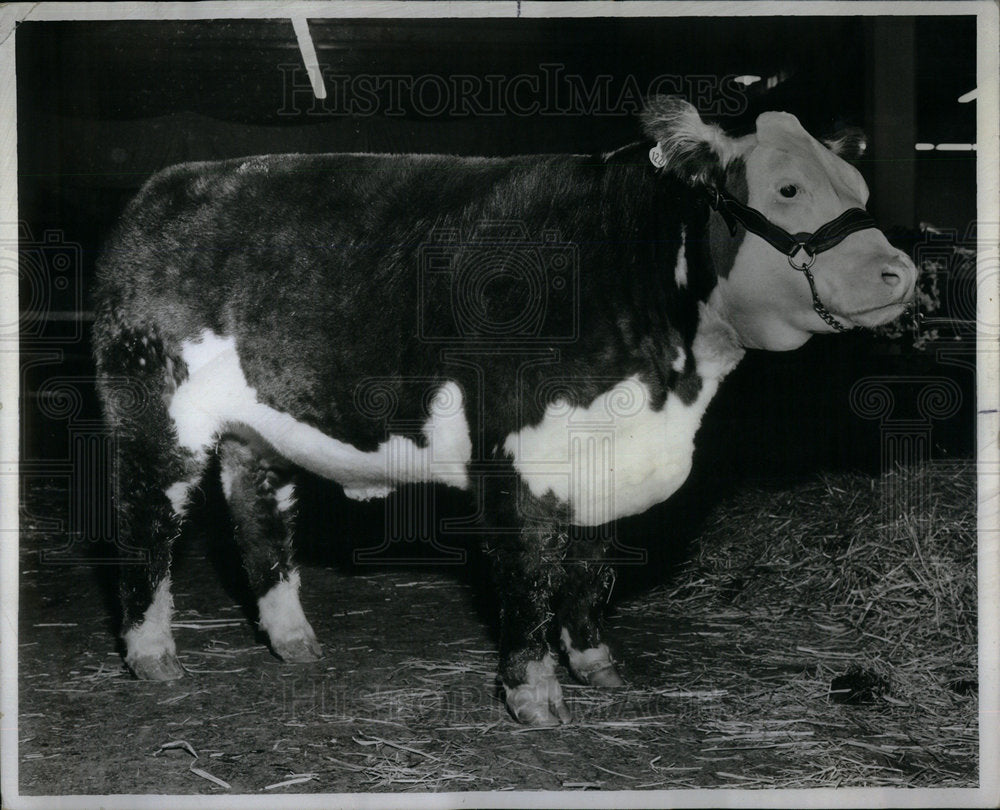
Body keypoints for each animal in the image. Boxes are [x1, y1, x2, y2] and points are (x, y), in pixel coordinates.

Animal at [92, 98, 916, 724]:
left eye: (857, 186)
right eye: (786, 189)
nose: (899, 271)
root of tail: (165, 189)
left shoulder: (600, 456)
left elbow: (588, 572)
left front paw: (597, 665)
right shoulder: (519, 456)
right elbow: (528, 578)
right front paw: (535, 696)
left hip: (259, 430)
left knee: (259, 521)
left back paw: (294, 640)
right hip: (151, 413)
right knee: (146, 525)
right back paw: (152, 654)